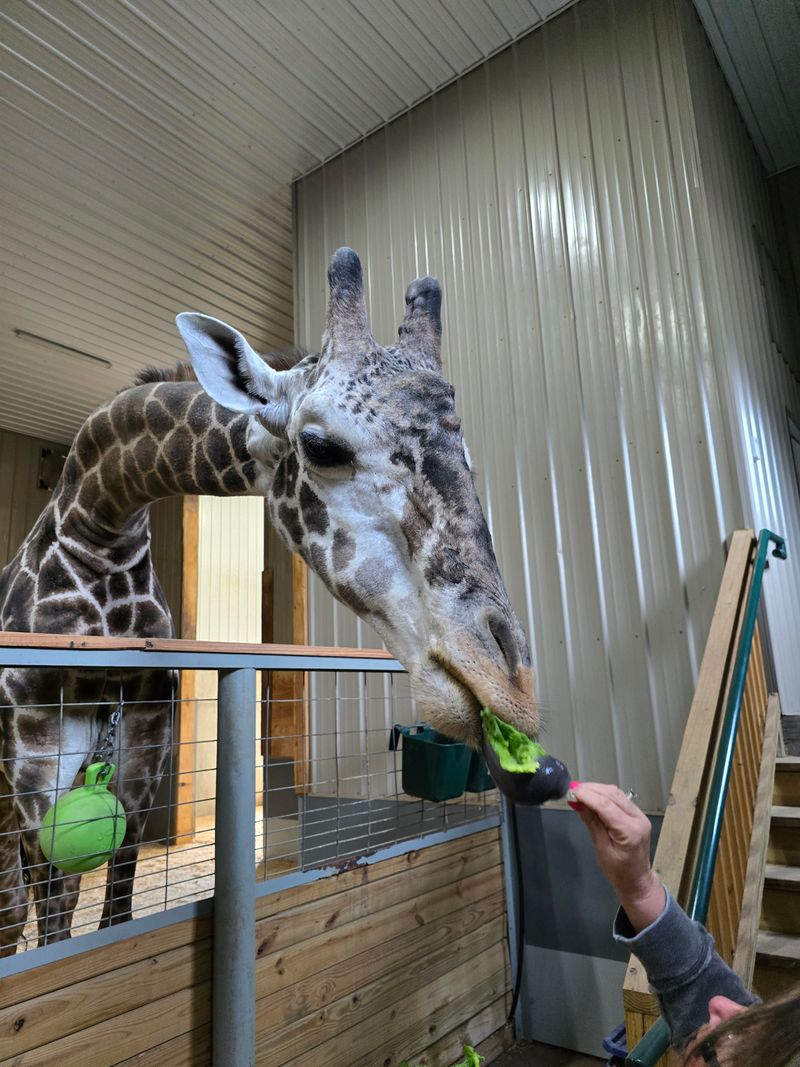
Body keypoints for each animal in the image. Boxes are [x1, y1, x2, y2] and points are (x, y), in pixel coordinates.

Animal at [0, 248, 540, 955]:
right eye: (322, 446)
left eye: (467, 454)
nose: (511, 689)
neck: (99, 530)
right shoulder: (39, 758)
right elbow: (57, 922)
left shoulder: (142, 758)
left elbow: (114, 912)